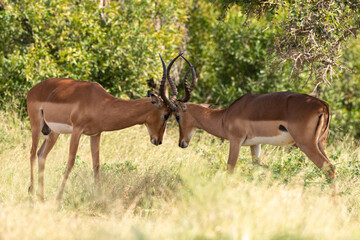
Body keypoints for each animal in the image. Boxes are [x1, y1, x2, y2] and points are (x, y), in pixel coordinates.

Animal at [26, 54, 180, 201]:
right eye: (166, 115)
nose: (158, 140)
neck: (100, 102)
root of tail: (32, 90)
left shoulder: (96, 134)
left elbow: (96, 164)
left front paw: (97, 198)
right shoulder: (77, 130)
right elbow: (71, 161)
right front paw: (58, 199)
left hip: (52, 132)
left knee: (41, 154)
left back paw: (41, 197)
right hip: (36, 126)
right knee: (32, 153)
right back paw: (31, 194)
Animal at [168, 55, 334, 180]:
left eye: (177, 116)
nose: (182, 143)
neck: (224, 116)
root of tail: (323, 105)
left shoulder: (235, 140)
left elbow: (230, 167)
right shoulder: (255, 144)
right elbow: (257, 168)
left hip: (306, 144)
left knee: (329, 168)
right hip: (320, 143)